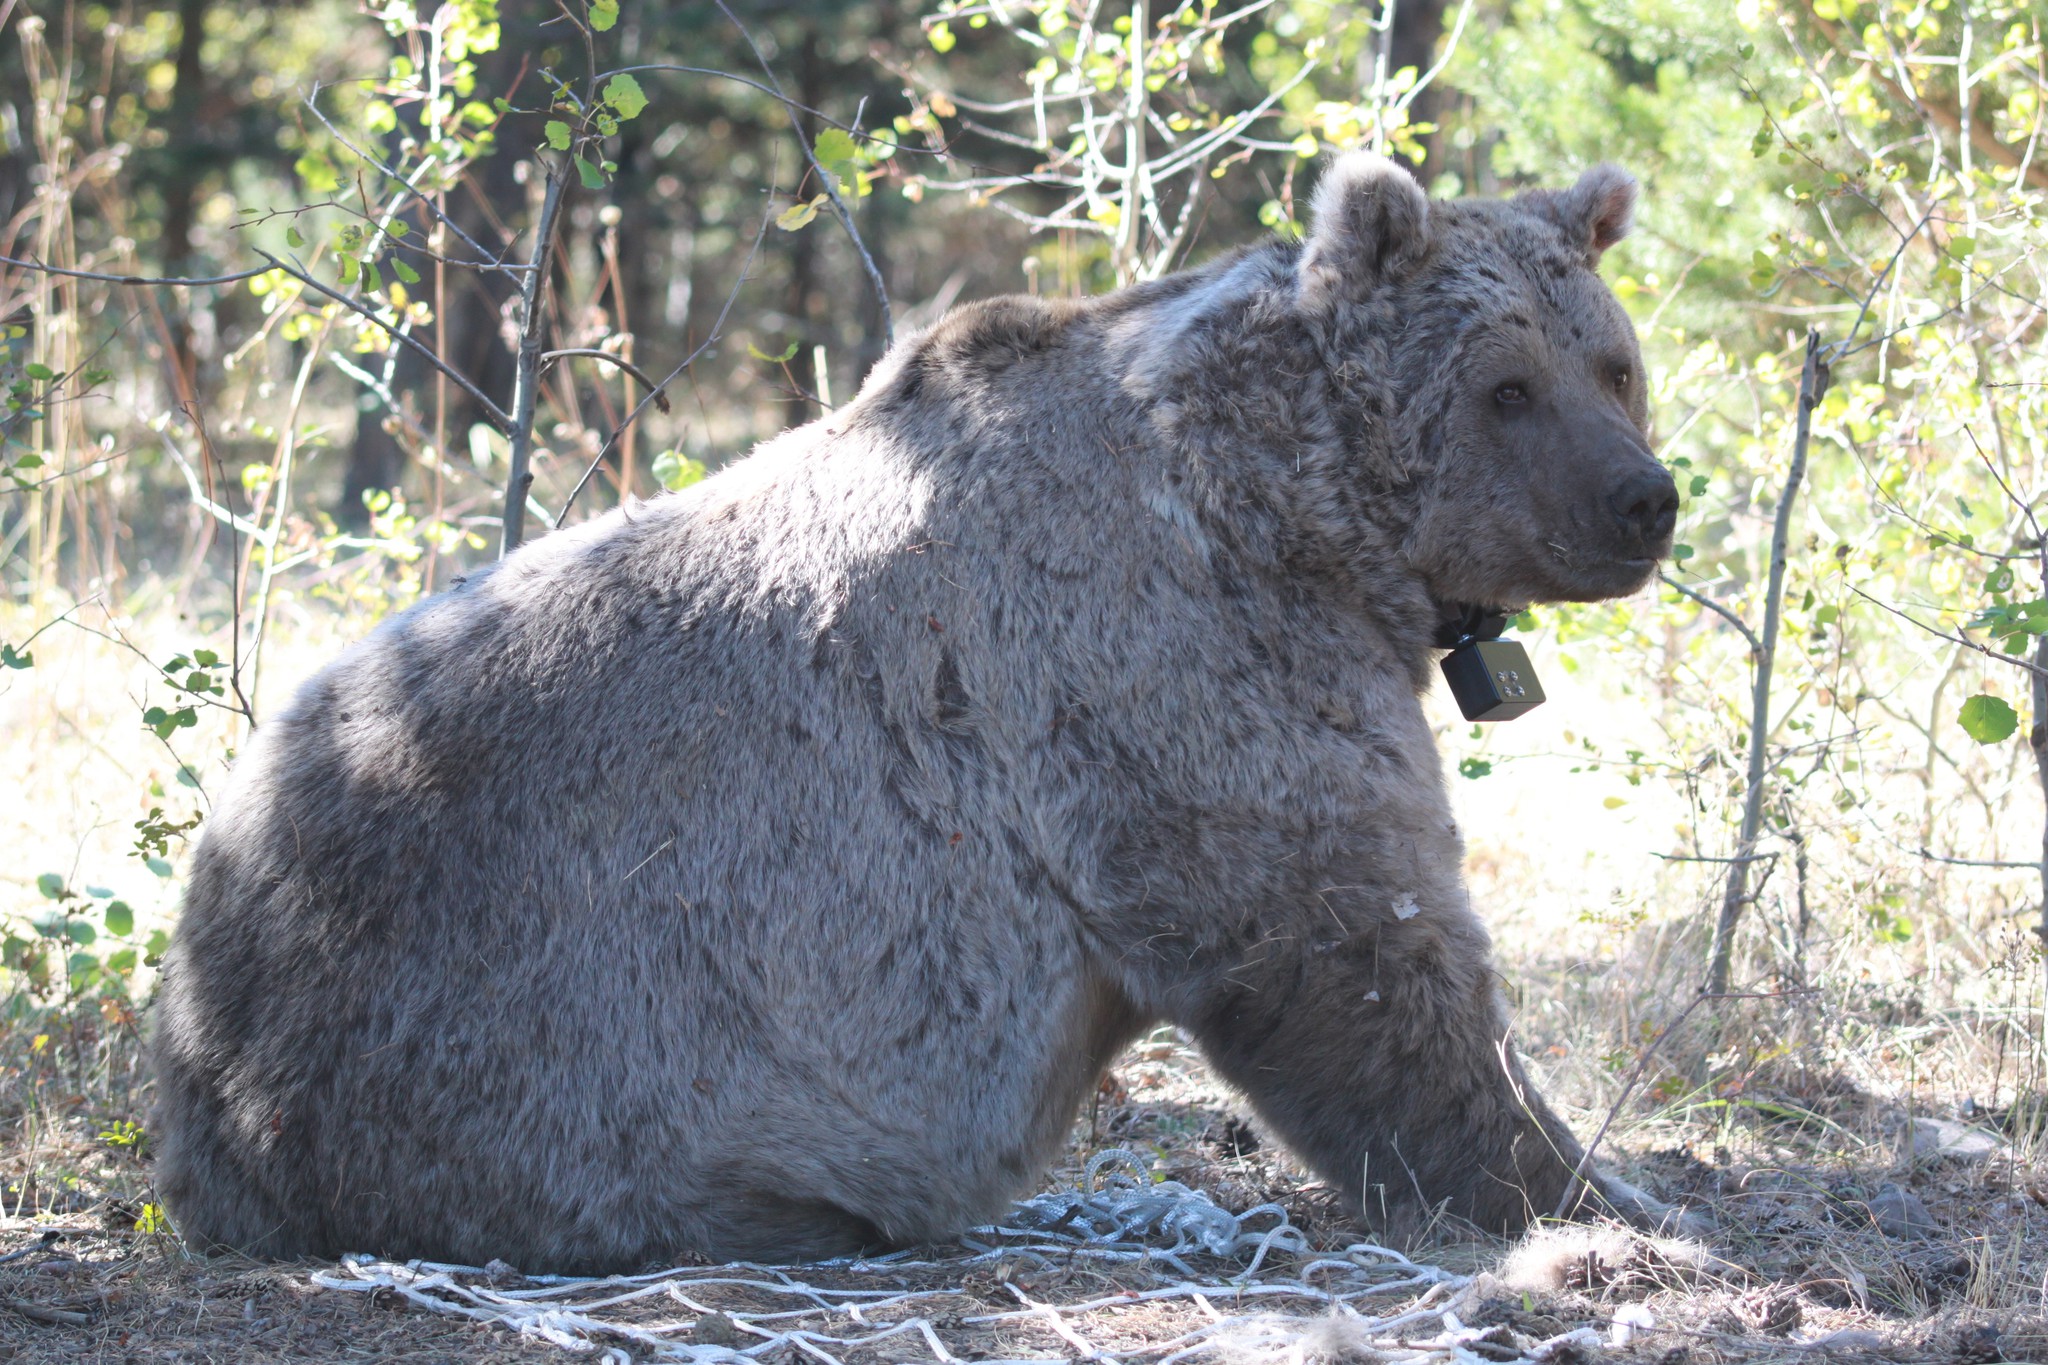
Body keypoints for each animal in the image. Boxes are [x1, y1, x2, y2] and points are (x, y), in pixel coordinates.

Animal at [148, 154, 1679, 1277]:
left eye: (1612, 363)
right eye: (1504, 385)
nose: (1641, 500)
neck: (1309, 512)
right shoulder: (1166, 667)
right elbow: (1353, 944)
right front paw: (1584, 1191)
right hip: (520, 1048)